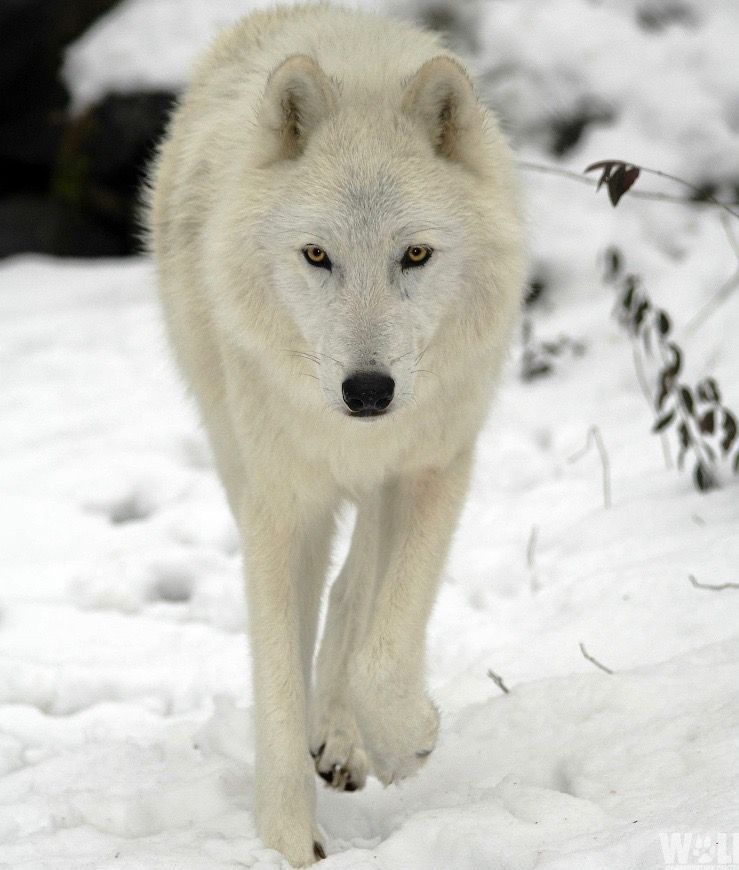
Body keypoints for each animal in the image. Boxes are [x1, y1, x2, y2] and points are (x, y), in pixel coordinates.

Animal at [146, 1, 524, 864]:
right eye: (316, 255)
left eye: (414, 253)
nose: (368, 391)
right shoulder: (279, 506)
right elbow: (279, 680)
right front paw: (286, 840)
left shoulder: (432, 469)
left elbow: (384, 649)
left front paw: (404, 740)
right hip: (238, 458)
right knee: (338, 592)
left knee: (358, 593)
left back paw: (348, 740)